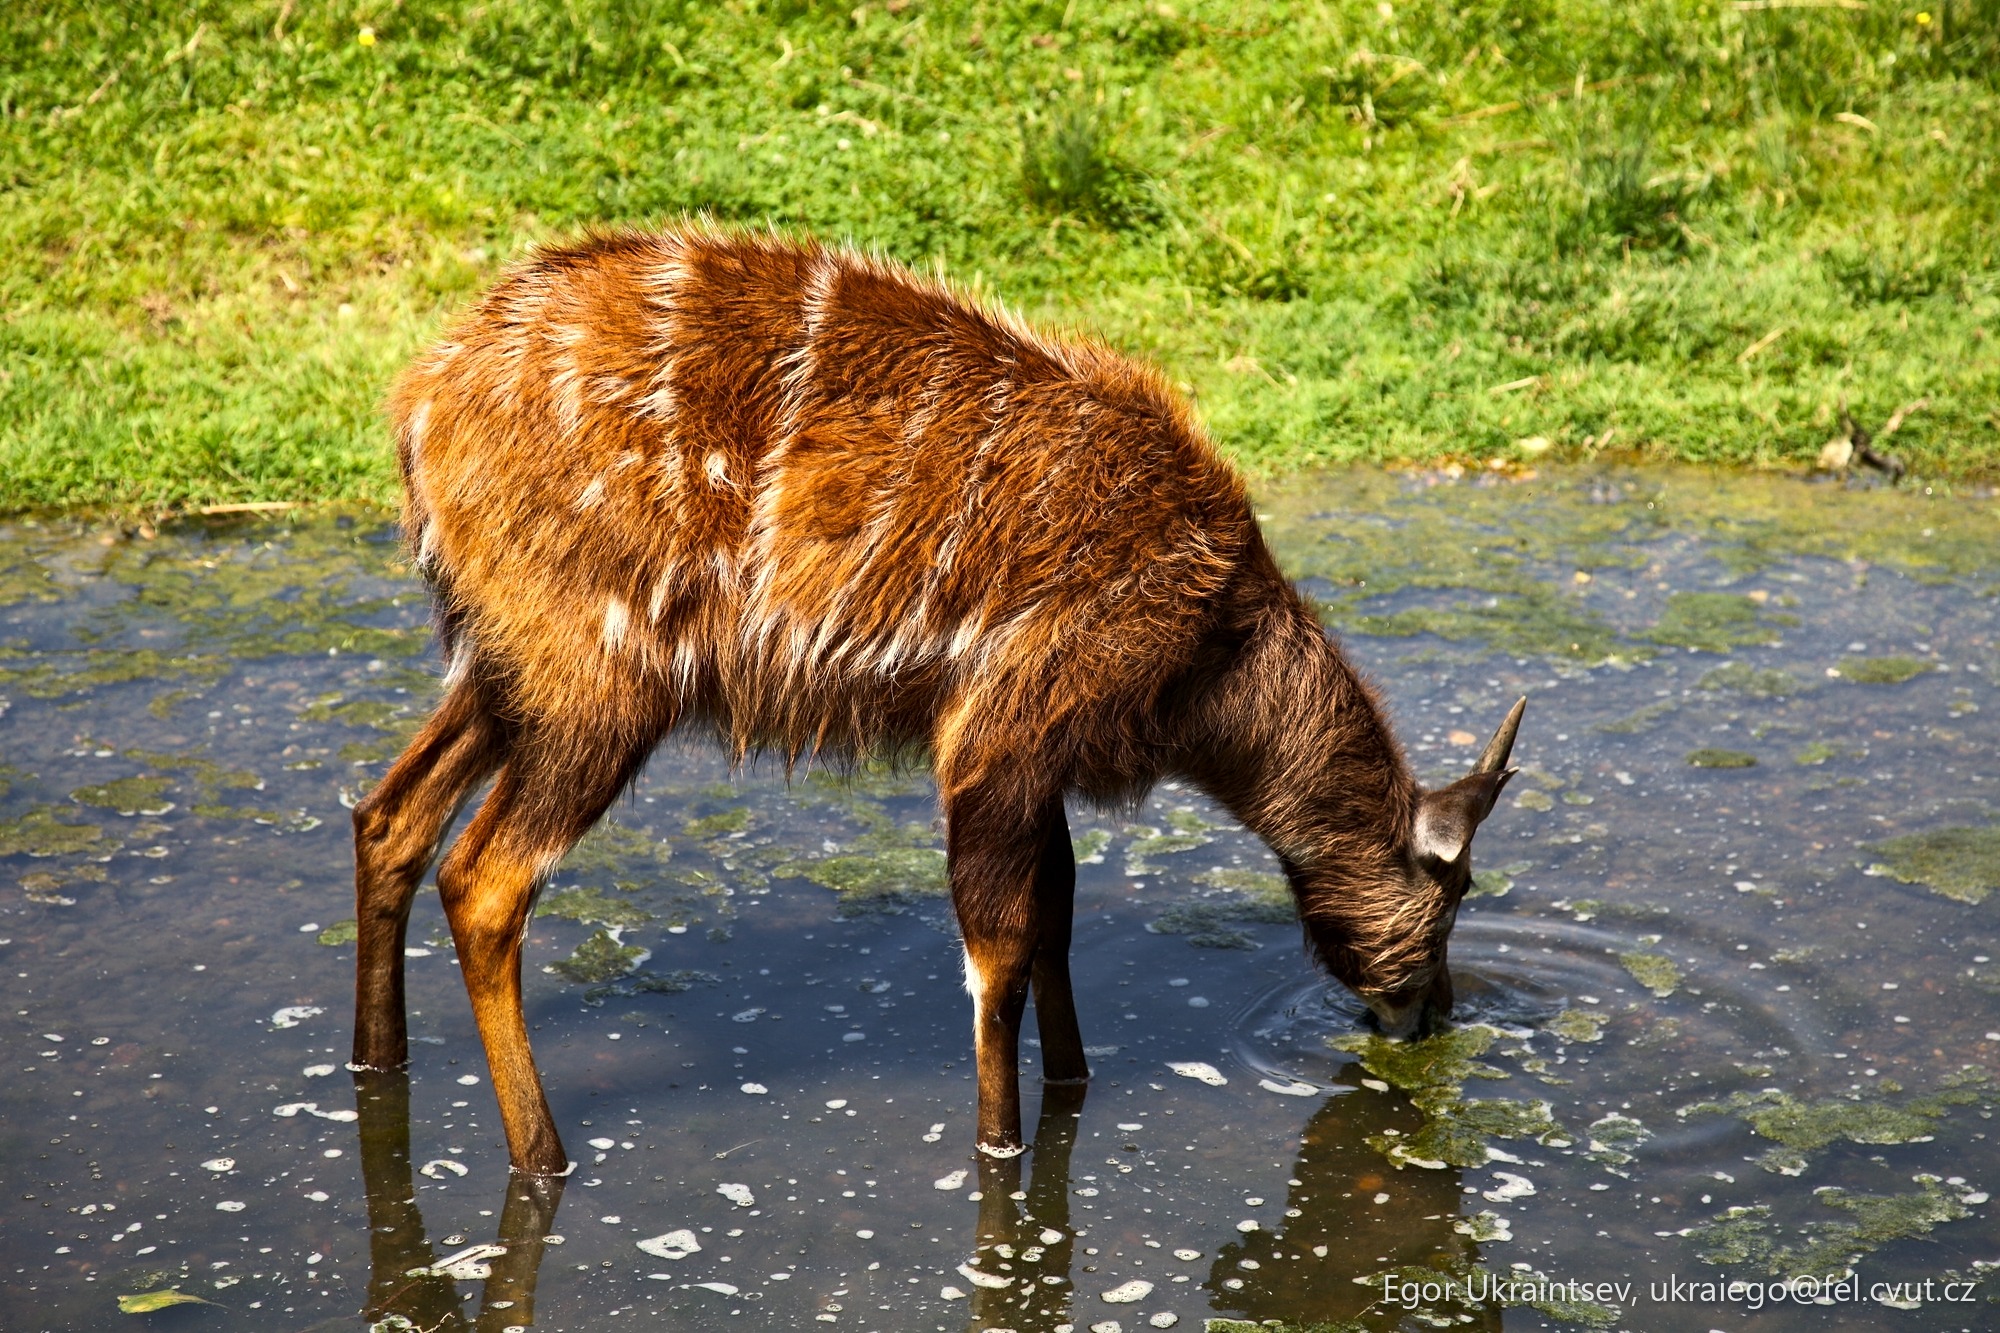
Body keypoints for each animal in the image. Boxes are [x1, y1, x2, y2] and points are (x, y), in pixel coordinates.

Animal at [350, 225, 1524, 1174]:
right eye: (1453, 891)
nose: (1433, 1013)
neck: (1212, 650)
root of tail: (418, 402)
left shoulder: (1035, 758)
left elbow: (1055, 915)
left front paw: (1073, 1087)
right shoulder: (997, 728)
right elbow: (997, 953)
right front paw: (1000, 1150)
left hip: (502, 666)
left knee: (388, 816)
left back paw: (375, 1067)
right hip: (600, 682)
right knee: (485, 879)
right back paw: (543, 1156)